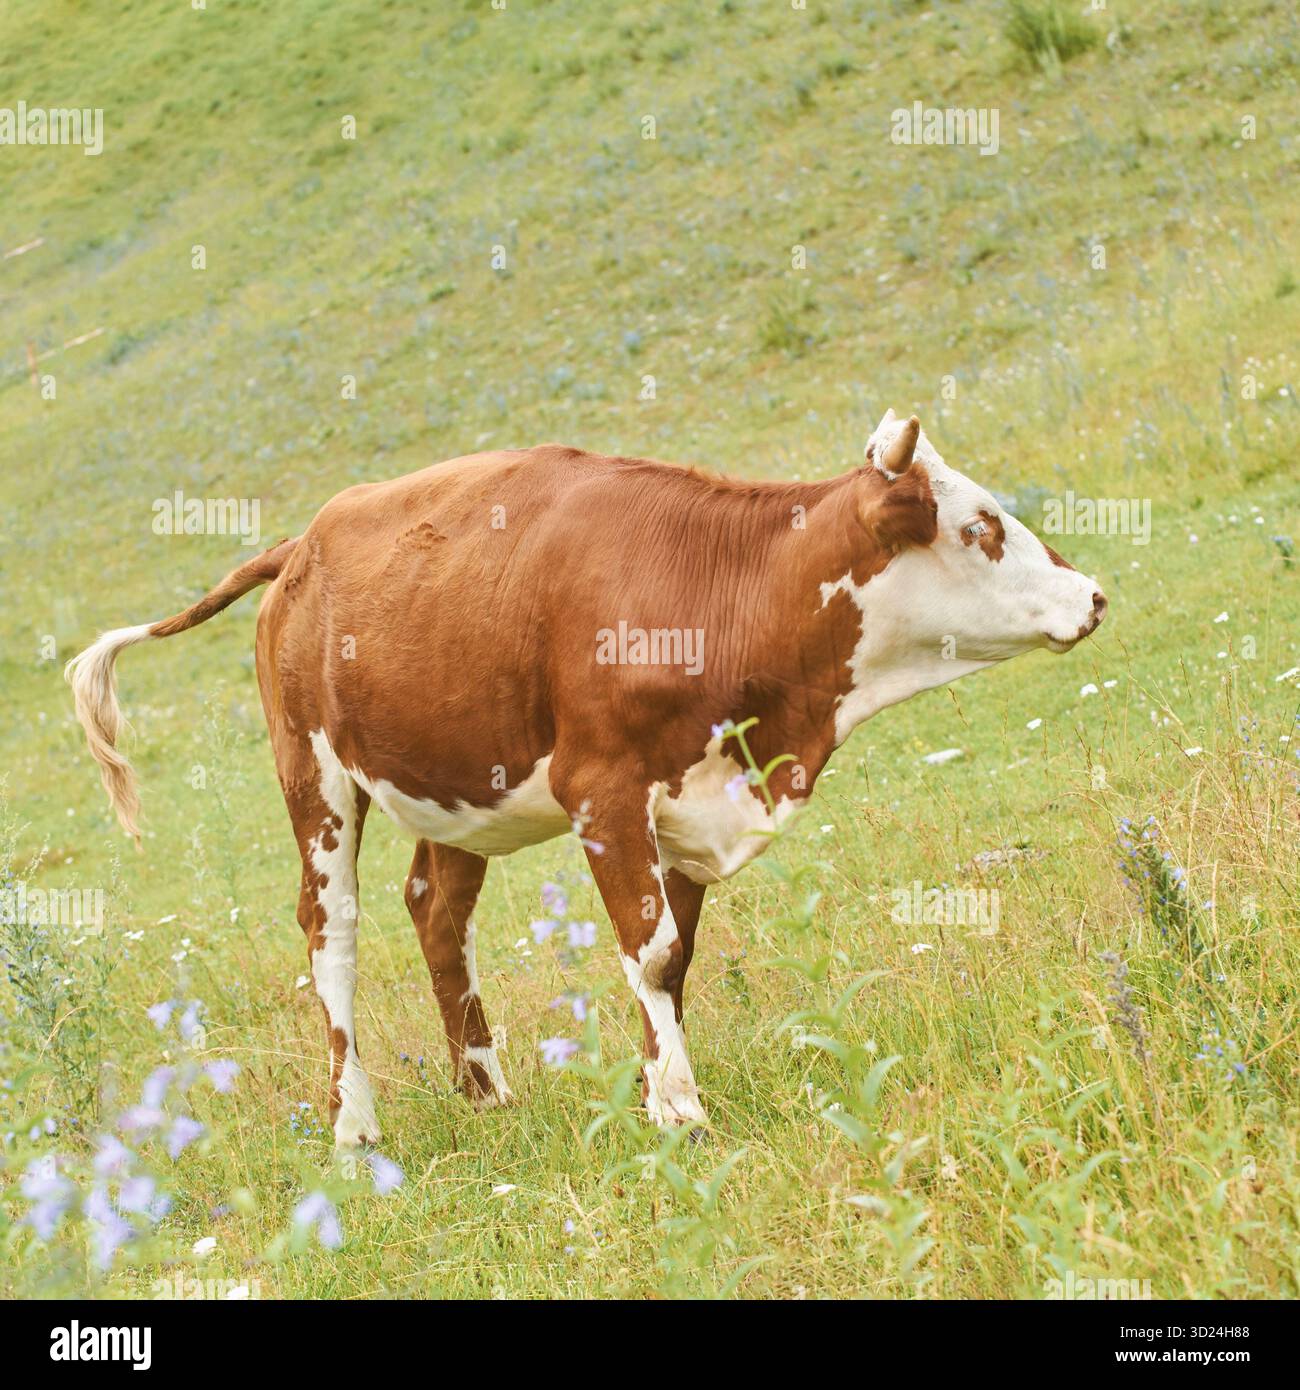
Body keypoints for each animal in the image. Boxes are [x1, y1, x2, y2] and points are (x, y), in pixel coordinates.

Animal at [66, 411, 1106, 1147]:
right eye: (980, 526)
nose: (1092, 595)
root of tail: (304, 542)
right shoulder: (603, 791)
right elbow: (648, 950)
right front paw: (679, 1107)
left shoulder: (689, 797)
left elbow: (674, 957)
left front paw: (658, 1087)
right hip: (313, 771)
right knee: (333, 930)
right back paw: (354, 1125)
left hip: (455, 783)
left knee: (436, 910)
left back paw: (486, 1089)